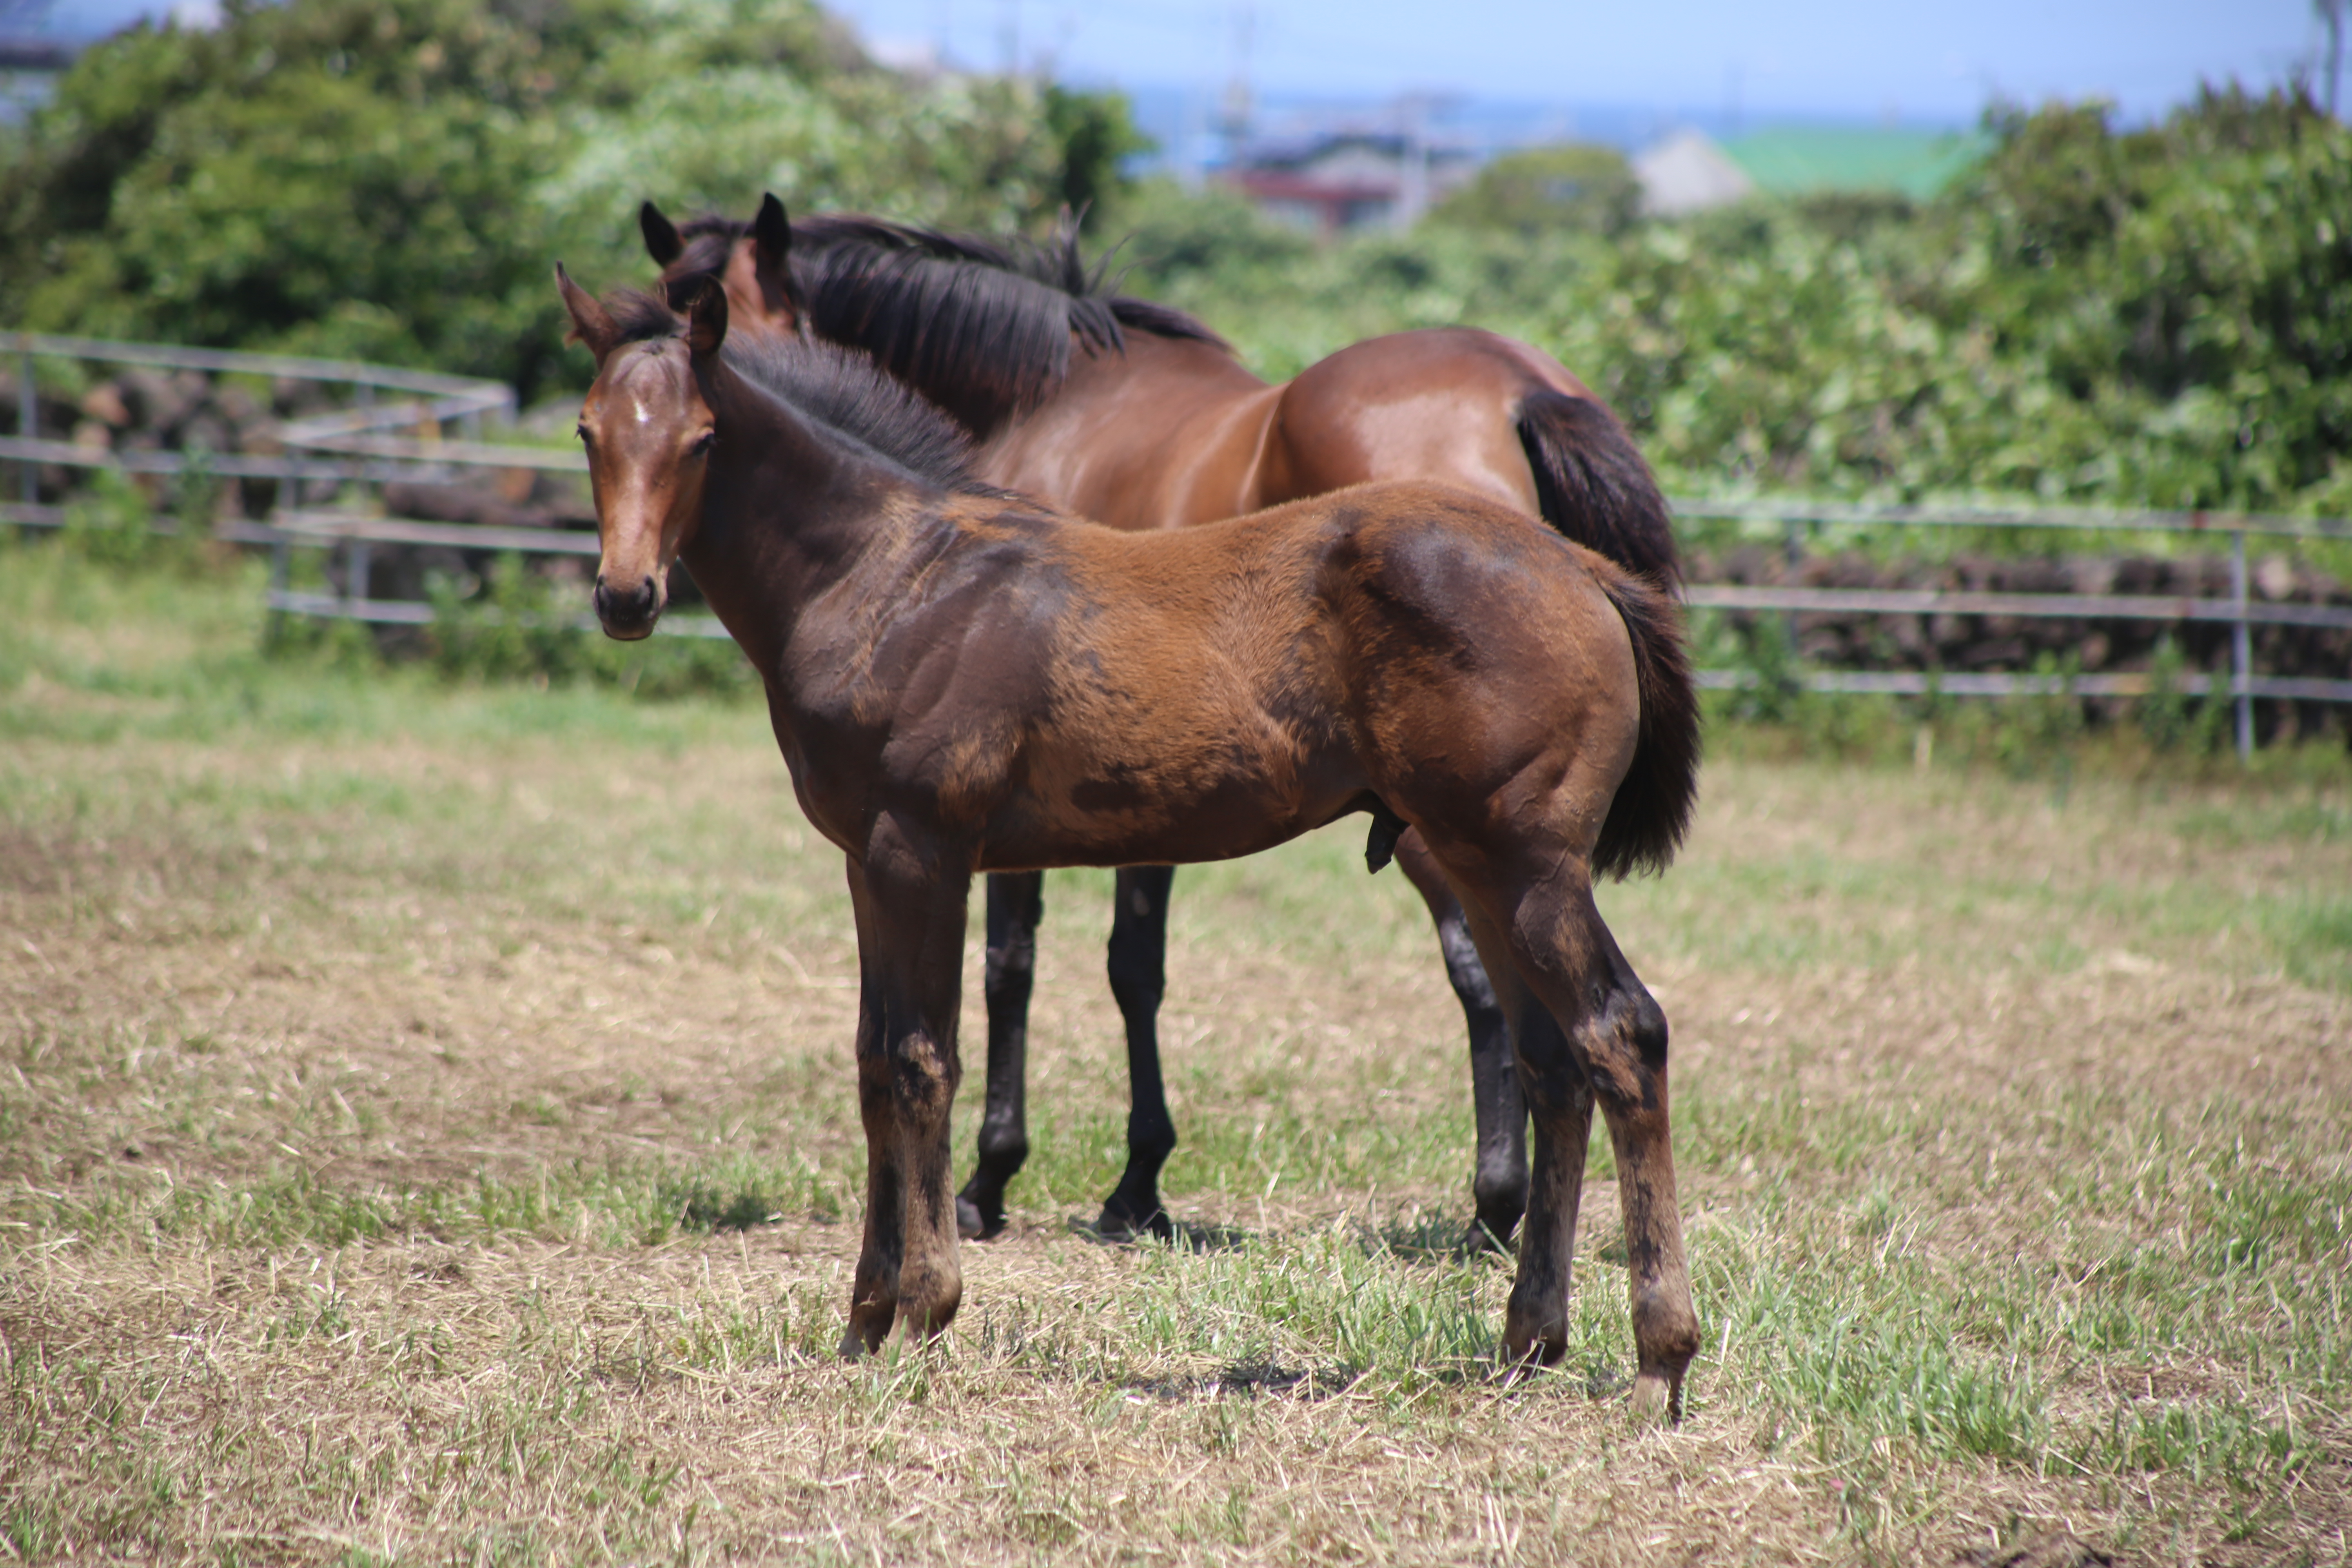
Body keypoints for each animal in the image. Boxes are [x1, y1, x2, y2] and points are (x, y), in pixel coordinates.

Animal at [559, 272, 1703, 1420]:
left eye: (704, 438)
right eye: (588, 430)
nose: (625, 597)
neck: (890, 578)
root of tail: (1585, 570)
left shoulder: (922, 850)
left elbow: (926, 1060)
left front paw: (925, 1307)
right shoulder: (864, 859)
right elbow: (874, 1061)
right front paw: (863, 1320)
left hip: (1525, 864)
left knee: (1621, 1033)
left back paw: (1659, 1355)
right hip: (1481, 864)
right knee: (1552, 1063)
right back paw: (1527, 1339)